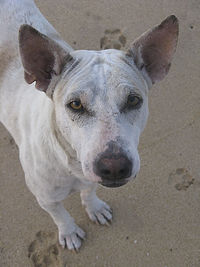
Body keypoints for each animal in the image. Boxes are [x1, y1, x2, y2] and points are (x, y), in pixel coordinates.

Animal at [0, 0, 178, 252]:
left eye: (133, 100)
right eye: (75, 104)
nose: (114, 167)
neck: (70, 162)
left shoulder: (90, 177)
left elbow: (89, 192)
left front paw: (95, 208)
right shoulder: (46, 199)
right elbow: (60, 215)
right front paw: (69, 231)